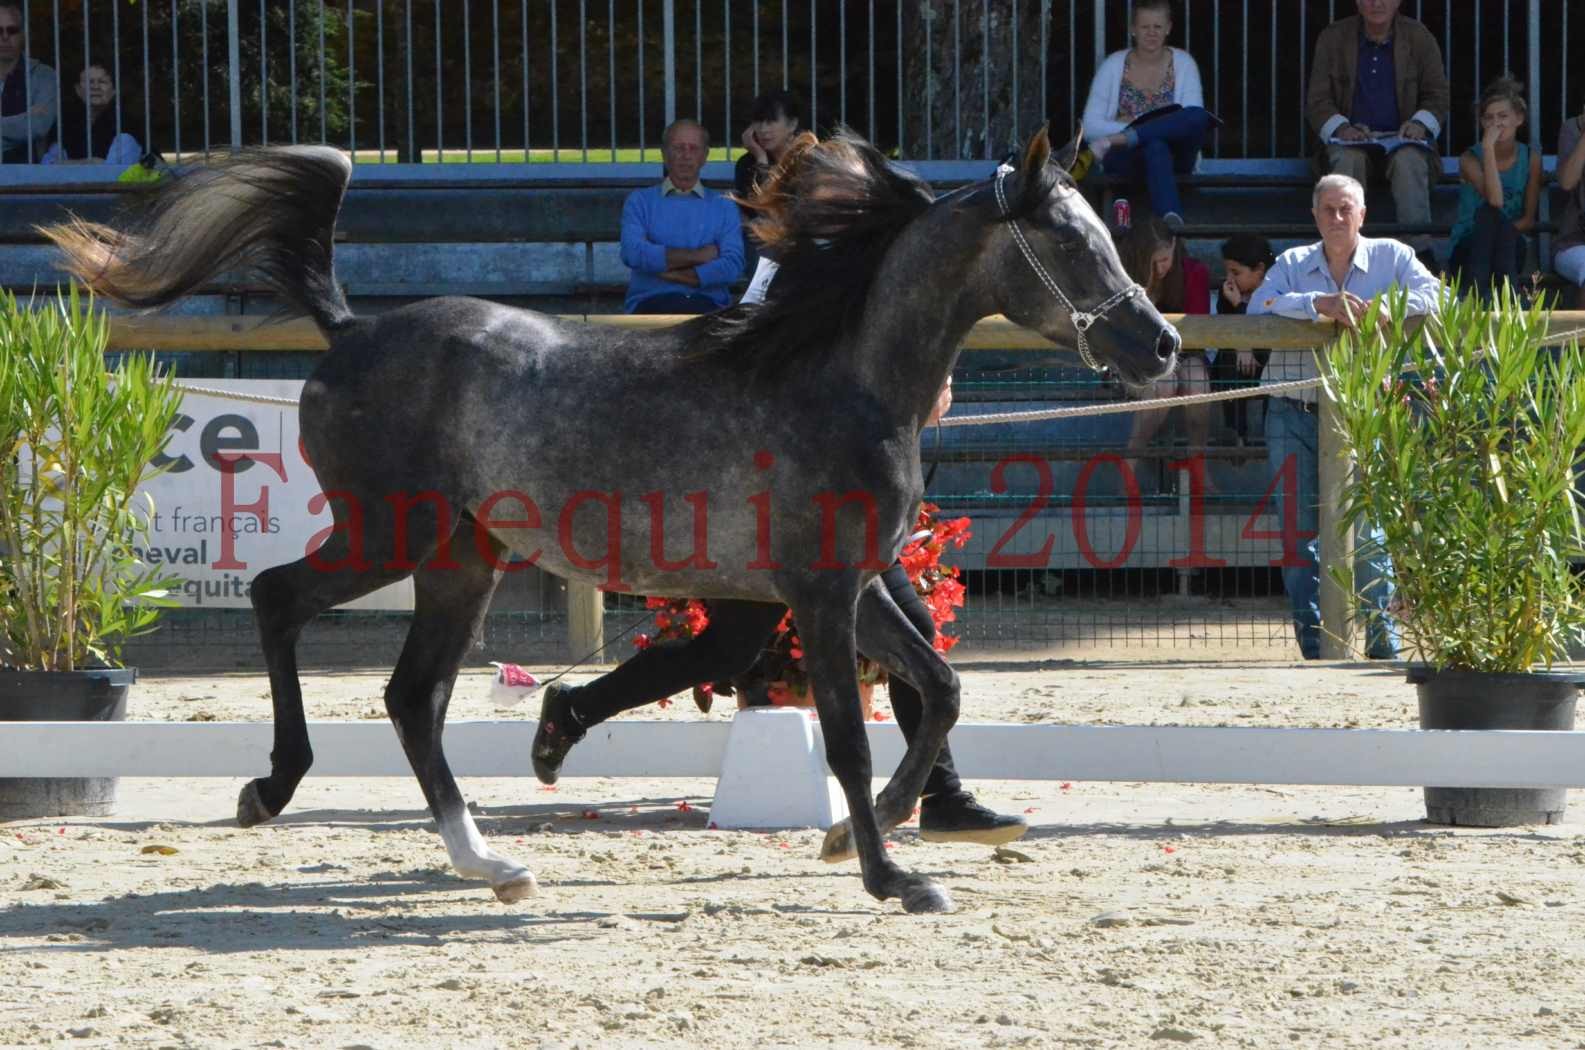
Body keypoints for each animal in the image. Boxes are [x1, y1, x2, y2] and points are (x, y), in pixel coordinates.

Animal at [49, 125, 1179, 913]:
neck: (838, 377)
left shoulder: (850, 585)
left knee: (413, 697)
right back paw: (273, 790)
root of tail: (348, 328)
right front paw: (890, 877)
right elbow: (851, 744)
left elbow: (939, 691)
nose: (1158, 344)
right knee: (281, 598)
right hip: (389, 535)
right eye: (1067, 240)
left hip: (461, 561)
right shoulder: (818, 594)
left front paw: (865, 838)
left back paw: (489, 862)